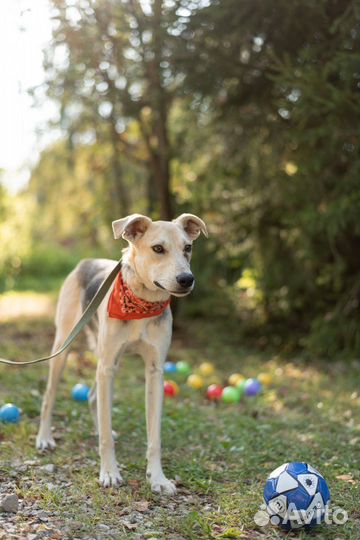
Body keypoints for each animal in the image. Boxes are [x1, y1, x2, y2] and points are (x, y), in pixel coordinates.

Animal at [36, 213, 207, 496]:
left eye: (188, 248)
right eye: (158, 248)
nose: (186, 279)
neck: (142, 301)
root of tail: (87, 261)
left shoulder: (154, 371)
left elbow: (154, 437)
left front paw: (158, 478)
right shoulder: (106, 366)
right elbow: (106, 438)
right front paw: (109, 473)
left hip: (111, 362)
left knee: (94, 397)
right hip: (64, 347)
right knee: (49, 396)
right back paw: (44, 437)